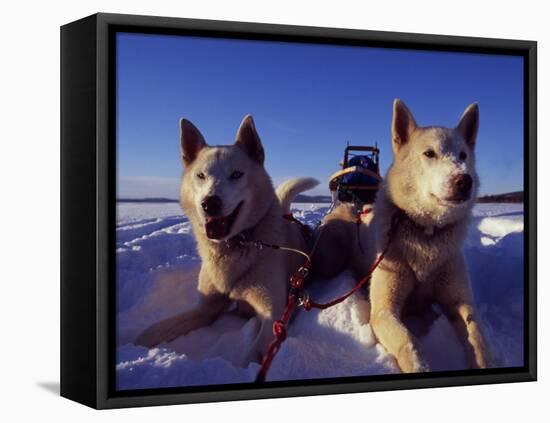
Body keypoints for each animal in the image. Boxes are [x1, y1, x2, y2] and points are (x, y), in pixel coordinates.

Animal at [134, 115, 322, 364]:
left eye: (236, 174)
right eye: (201, 176)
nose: (210, 203)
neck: (237, 244)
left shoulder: (272, 313)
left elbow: (253, 356)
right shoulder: (207, 306)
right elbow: (158, 329)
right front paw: (134, 344)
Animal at [370, 99, 496, 374]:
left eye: (463, 155)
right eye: (429, 154)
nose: (464, 181)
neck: (426, 233)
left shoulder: (460, 300)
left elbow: (477, 335)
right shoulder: (384, 309)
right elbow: (409, 341)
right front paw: (420, 366)